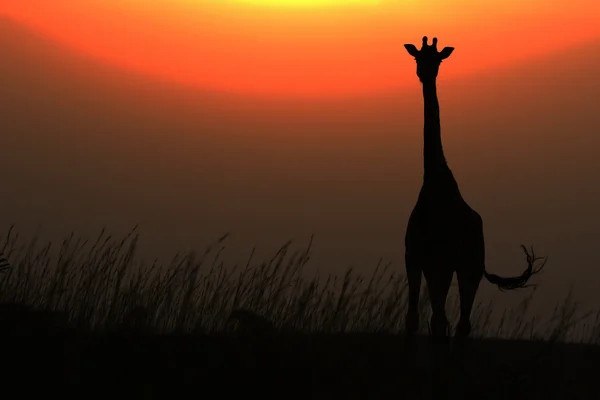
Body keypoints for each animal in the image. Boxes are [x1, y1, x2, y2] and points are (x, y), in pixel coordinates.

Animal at [404, 36, 544, 340]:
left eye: (438, 59)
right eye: (417, 58)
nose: (425, 73)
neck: (435, 182)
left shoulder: (424, 259)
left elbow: (421, 319)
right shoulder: (421, 260)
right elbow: (419, 319)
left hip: (460, 266)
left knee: (450, 321)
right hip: (461, 266)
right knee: (453, 322)